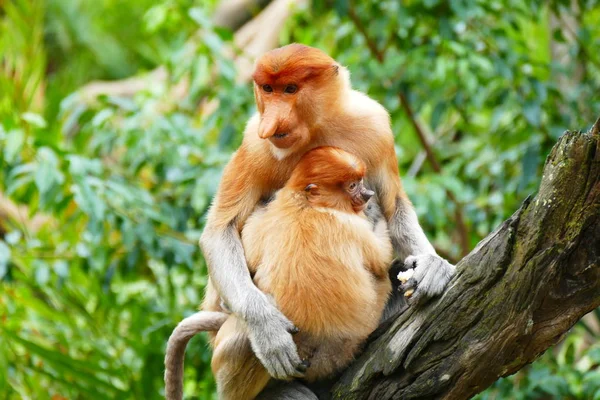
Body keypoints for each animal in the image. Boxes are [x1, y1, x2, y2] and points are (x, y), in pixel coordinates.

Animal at [168, 147, 394, 400]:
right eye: (353, 185)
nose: (368, 194)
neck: (305, 205)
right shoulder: (350, 225)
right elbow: (382, 257)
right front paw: (376, 213)